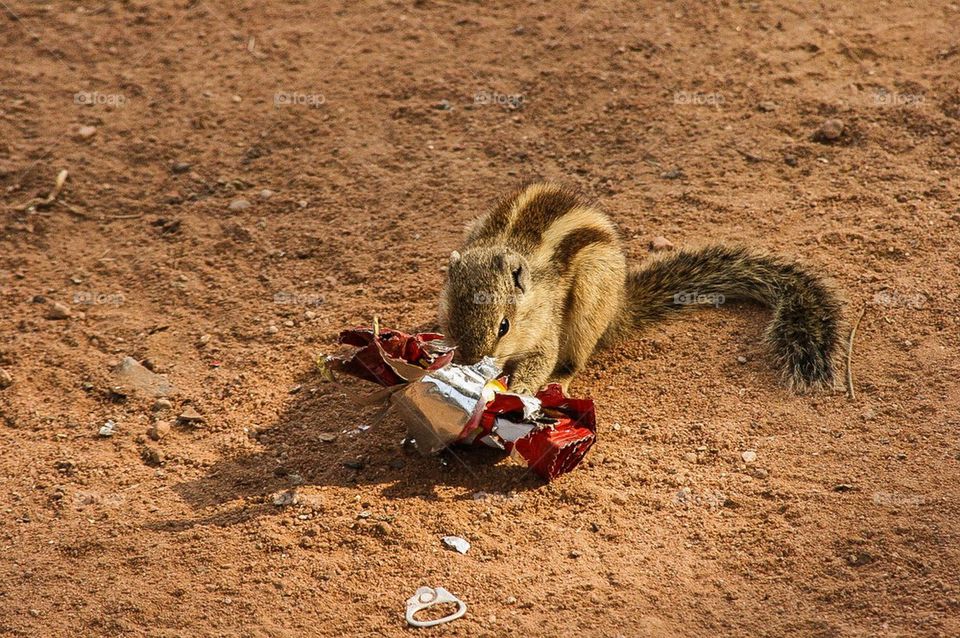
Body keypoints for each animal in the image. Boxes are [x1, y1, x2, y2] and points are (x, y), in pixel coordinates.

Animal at [438, 182, 844, 398]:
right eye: (450, 321)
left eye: (504, 326)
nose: (470, 364)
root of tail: (620, 305)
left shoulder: (545, 326)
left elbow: (542, 358)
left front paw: (521, 390)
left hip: (591, 296)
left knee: (575, 357)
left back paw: (560, 381)